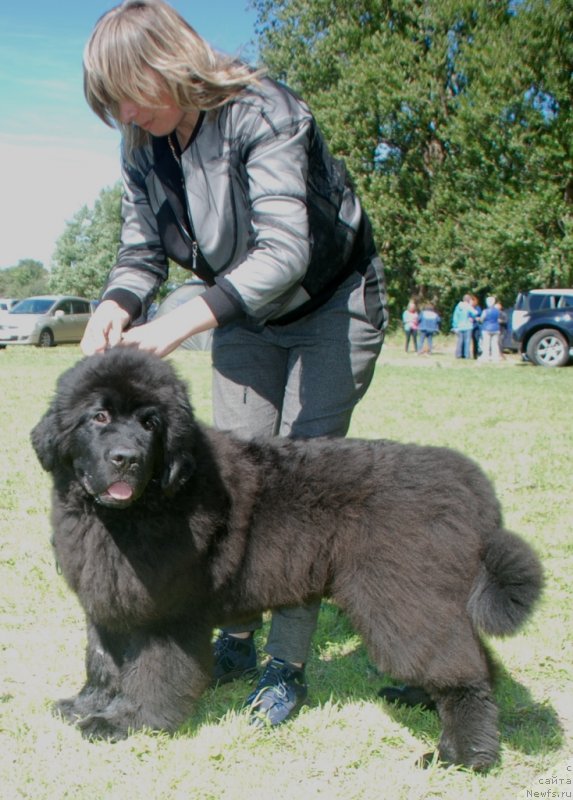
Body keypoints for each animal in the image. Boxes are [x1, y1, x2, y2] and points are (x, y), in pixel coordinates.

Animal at [30, 350, 540, 768]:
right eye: (98, 416)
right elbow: (100, 660)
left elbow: (152, 672)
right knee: (469, 656)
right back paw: (422, 699)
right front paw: (85, 706)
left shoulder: (166, 614)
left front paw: (127, 722)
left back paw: (462, 755)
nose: (126, 458)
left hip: (402, 597)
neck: (128, 513)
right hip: (429, 598)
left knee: (460, 671)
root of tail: (474, 485)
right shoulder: (106, 597)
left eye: (151, 424)